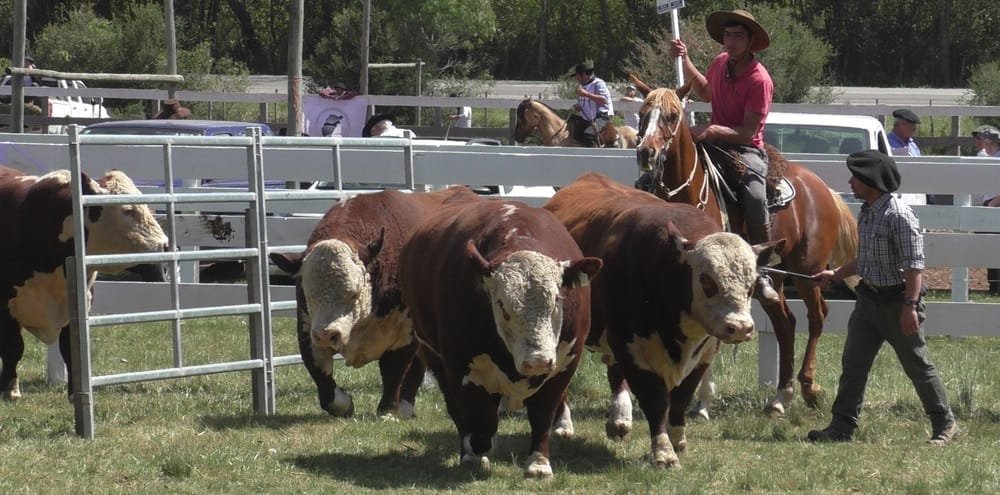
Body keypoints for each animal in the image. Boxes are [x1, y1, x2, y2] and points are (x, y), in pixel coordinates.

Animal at [0, 165, 169, 401]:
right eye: (127, 210)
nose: (165, 245)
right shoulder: (6, 306)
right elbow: (13, 348)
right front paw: (10, 391)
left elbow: (72, 351)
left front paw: (75, 394)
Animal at [268, 187, 480, 418]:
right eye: (310, 294)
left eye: (354, 293)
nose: (326, 334)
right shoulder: (308, 327)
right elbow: (319, 373)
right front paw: (343, 404)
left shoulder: (406, 329)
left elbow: (394, 369)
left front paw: (388, 410)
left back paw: (404, 406)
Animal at [399, 195, 602, 478]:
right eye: (502, 306)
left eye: (556, 301)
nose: (537, 360)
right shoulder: (462, 368)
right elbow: (479, 419)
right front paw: (475, 451)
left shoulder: (565, 364)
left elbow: (542, 414)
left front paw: (539, 463)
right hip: (433, 354)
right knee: (458, 409)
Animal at [544, 173, 783, 468]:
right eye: (707, 281)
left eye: (751, 285)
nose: (740, 327)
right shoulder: (631, 348)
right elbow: (655, 400)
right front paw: (663, 450)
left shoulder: (704, 352)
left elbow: (681, 397)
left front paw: (677, 437)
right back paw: (563, 423)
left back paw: (619, 418)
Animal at [631, 80, 859, 417]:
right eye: (643, 112)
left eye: (672, 115)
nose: (646, 152)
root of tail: (822, 189)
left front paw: (702, 401)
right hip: (776, 275)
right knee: (785, 323)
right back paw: (780, 397)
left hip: (807, 270)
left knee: (817, 316)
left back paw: (808, 387)